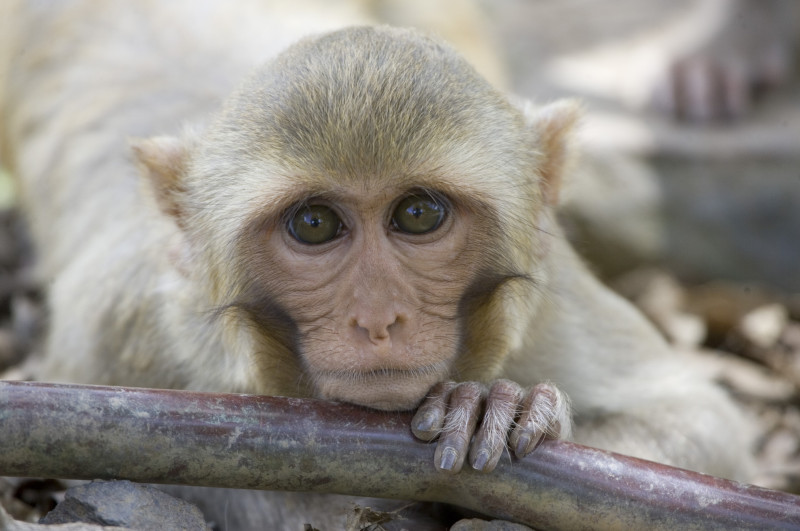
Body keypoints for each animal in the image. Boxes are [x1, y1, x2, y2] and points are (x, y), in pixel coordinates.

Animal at [0, 0, 752, 528]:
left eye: (418, 214)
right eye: (314, 224)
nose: (378, 317)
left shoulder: (551, 294)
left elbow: (698, 421)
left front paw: (498, 408)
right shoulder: (119, 331)